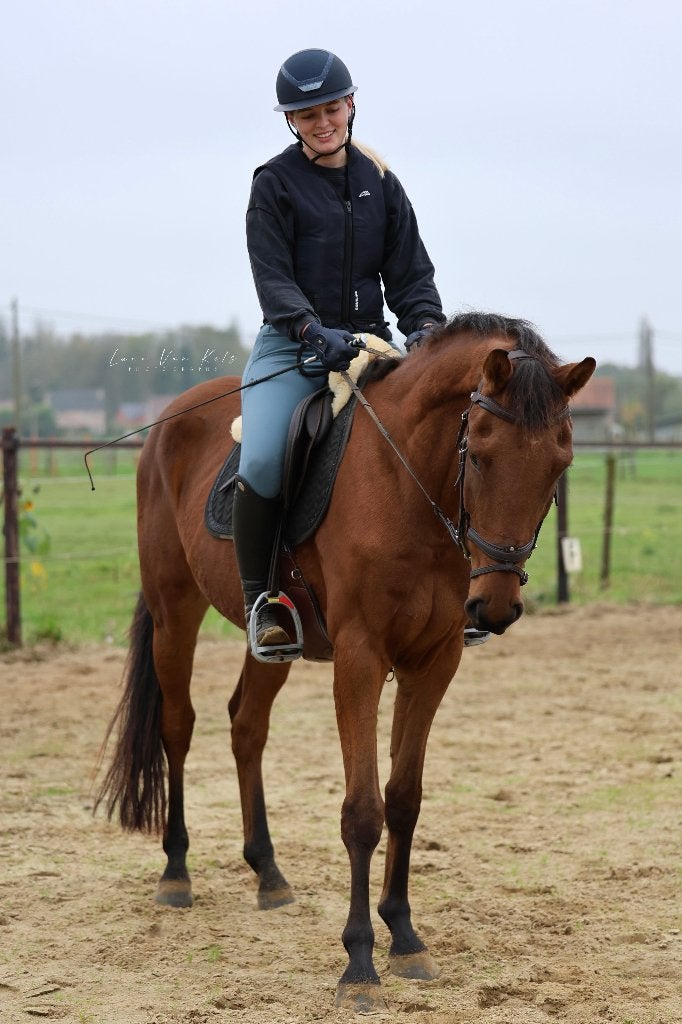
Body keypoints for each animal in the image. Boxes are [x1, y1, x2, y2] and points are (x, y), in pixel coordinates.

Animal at [96, 312, 595, 1012]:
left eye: (559, 462)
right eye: (481, 450)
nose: (495, 606)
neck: (409, 481)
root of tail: (170, 418)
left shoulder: (433, 662)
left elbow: (404, 799)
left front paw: (405, 937)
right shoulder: (359, 658)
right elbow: (362, 811)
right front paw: (359, 960)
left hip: (275, 640)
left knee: (246, 725)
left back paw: (269, 874)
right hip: (175, 612)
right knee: (178, 726)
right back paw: (176, 871)